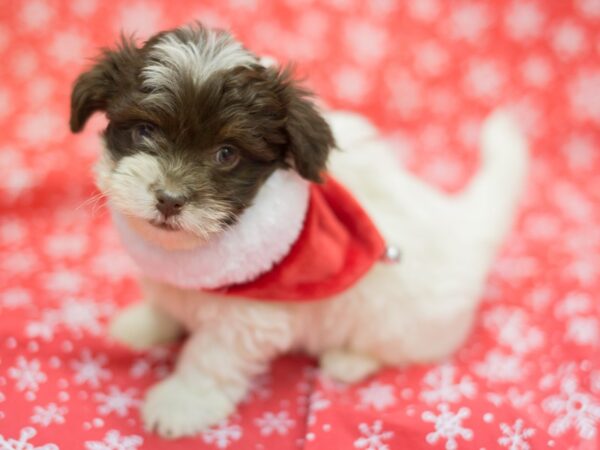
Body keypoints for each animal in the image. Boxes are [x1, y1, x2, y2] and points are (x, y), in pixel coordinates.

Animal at [71, 22, 528, 440]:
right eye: (144, 130)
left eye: (226, 154)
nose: (169, 199)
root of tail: (465, 226)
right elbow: (165, 301)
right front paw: (144, 324)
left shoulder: (248, 318)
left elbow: (210, 359)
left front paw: (180, 403)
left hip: (405, 323)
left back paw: (348, 360)